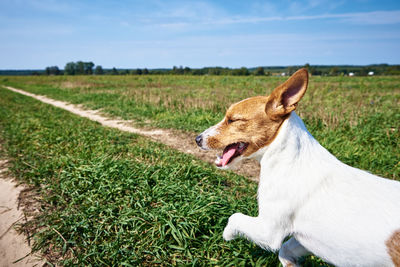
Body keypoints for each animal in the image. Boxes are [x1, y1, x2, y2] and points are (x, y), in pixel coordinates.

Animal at [195, 68, 400, 266]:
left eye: (233, 120)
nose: (197, 139)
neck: (287, 158)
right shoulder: (307, 240)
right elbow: (286, 250)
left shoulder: (269, 229)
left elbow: (234, 217)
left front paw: (227, 234)